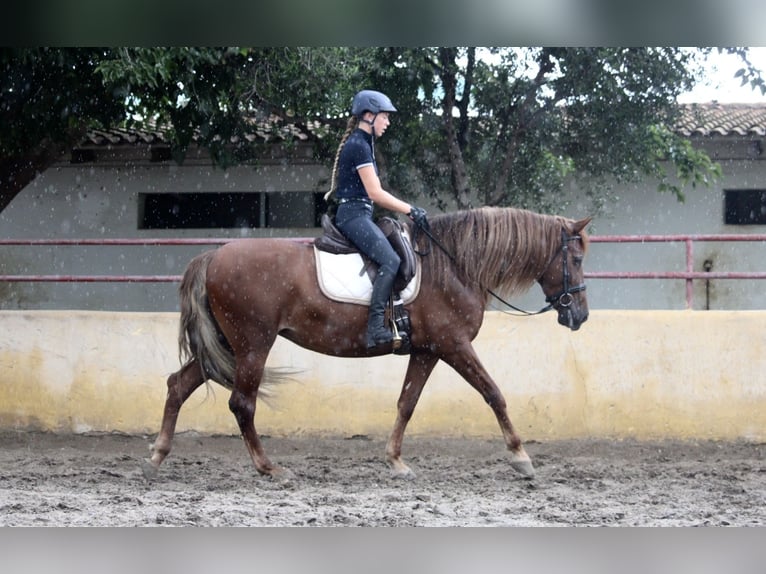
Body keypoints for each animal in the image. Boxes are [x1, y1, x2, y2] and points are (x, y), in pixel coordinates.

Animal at [142, 206, 592, 482]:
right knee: (242, 404)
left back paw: (157, 456)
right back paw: (269, 468)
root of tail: (213, 257)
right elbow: (493, 393)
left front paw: (395, 461)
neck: (453, 265)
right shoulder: (454, 345)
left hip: (226, 345)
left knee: (178, 385)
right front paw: (521, 457)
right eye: (576, 260)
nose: (580, 315)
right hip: (252, 343)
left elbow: (407, 403)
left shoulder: (427, 351)